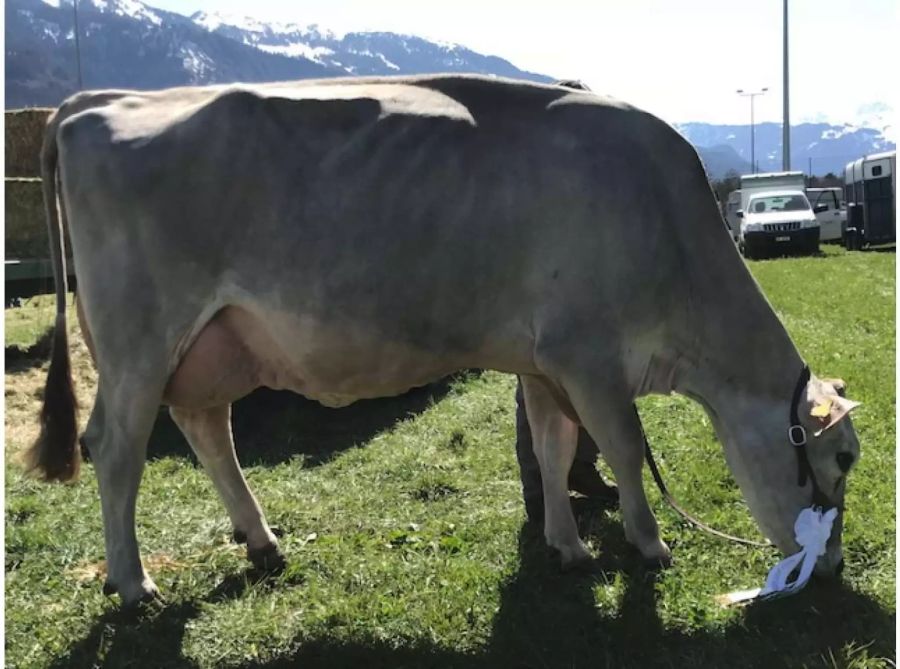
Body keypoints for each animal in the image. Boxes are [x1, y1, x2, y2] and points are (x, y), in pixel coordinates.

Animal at [24, 74, 860, 604]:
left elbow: (553, 448)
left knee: (205, 427)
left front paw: (568, 545)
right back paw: (134, 581)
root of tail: (94, 102)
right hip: (138, 339)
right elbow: (623, 448)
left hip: (210, 345)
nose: (831, 567)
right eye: (843, 458)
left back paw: (261, 540)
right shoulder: (589, 356)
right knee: (117, 447)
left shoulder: (544, 361)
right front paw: (649, 544)